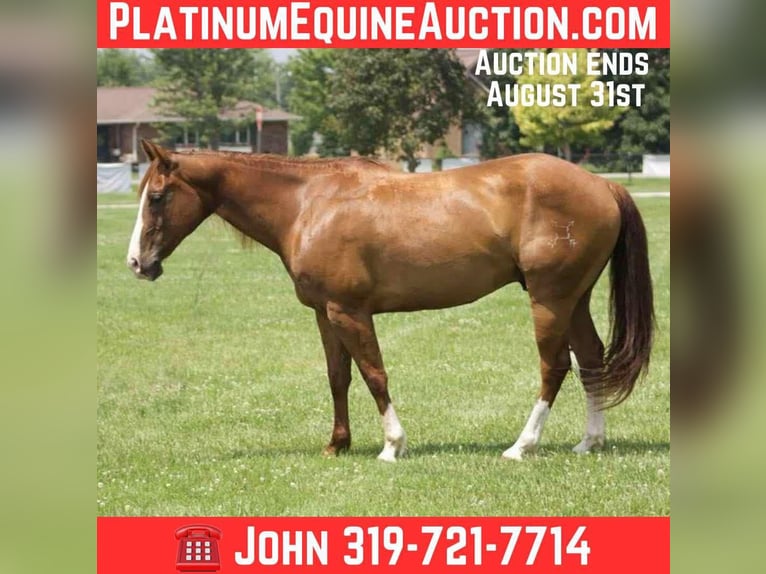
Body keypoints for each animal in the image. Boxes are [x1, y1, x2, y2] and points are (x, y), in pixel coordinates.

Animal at [127, 139, 654, 462]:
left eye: (157, 197)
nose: (137, 263)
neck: (308, 203)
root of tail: (602, 184)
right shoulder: (325, 314)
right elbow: (338, 378)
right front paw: (337, 445)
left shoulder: (350, 312)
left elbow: (374, 374)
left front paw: (391, 445)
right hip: (575, 299)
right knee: (591, 360)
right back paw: (590, 441)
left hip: (549, 300)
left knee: (555, 366)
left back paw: (522, 446)